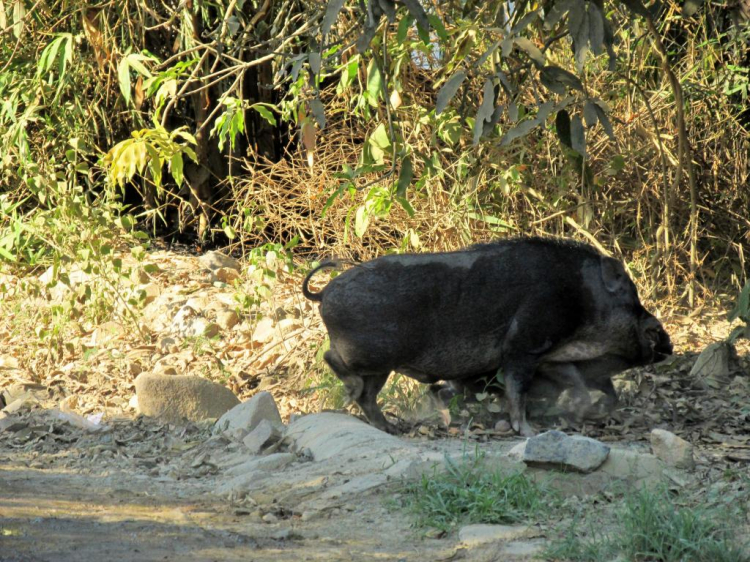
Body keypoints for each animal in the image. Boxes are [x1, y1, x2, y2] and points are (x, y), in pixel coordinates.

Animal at [306, 236, 676, 434]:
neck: (580, 297)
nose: (667, 339)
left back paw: (389, 428)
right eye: (629, 293)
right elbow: (516, 388)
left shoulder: (551, 358)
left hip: (380, 367)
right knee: (335, 361)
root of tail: (323, 293)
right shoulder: (523, 345)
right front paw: (526, 430)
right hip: (372, 354)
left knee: (367, 396)